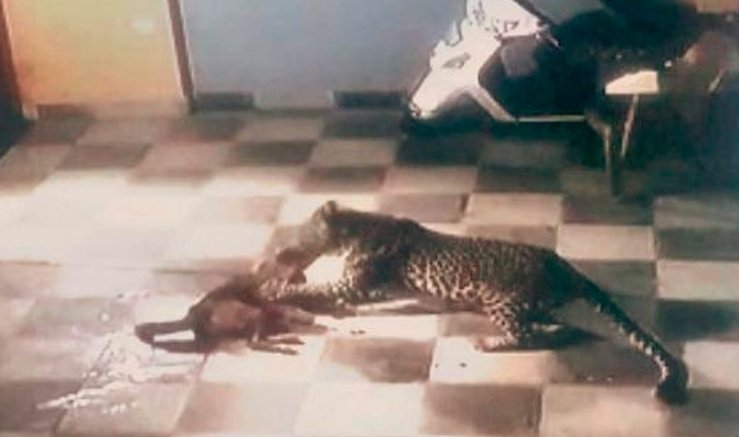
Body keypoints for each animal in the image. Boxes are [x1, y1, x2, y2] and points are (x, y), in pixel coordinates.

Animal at [266, 200, 689, 405]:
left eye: (303, 232)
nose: (286, 249)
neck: (354, 229)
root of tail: (561, 263)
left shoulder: (355, 284)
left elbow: (316, 288)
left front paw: (276, 288)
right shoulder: (372, 291)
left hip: (498, 299)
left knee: (526, 335)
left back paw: (486, 342)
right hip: (528, 305)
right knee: (558, 328)